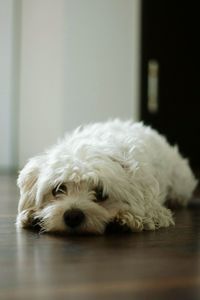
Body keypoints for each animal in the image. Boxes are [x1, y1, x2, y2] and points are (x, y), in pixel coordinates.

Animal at [16, 119, 198, 234]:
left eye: (100, 193)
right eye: (58, 189)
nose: (73, 216)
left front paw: (126, 218)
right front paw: (31, 215)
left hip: (180, 182)